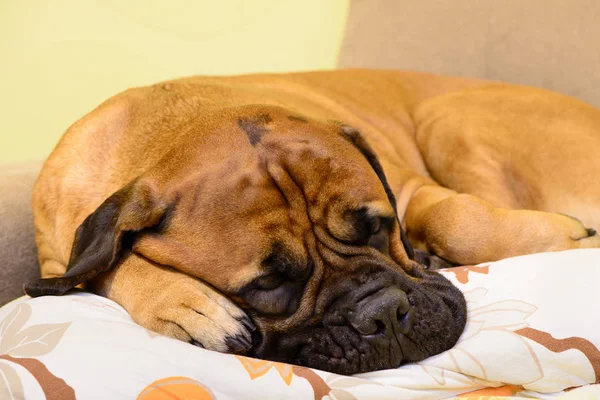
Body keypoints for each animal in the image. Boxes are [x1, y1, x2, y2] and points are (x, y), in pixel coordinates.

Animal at [24, 69, 600, 376]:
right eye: (268, 284)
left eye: (377, 227)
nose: (383, 314)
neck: (170, 133)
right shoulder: (56, 256)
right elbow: (102, 270)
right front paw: (188, 304)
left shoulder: (411, 187)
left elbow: (453, 216)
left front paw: (567, 236)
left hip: (448, 118)